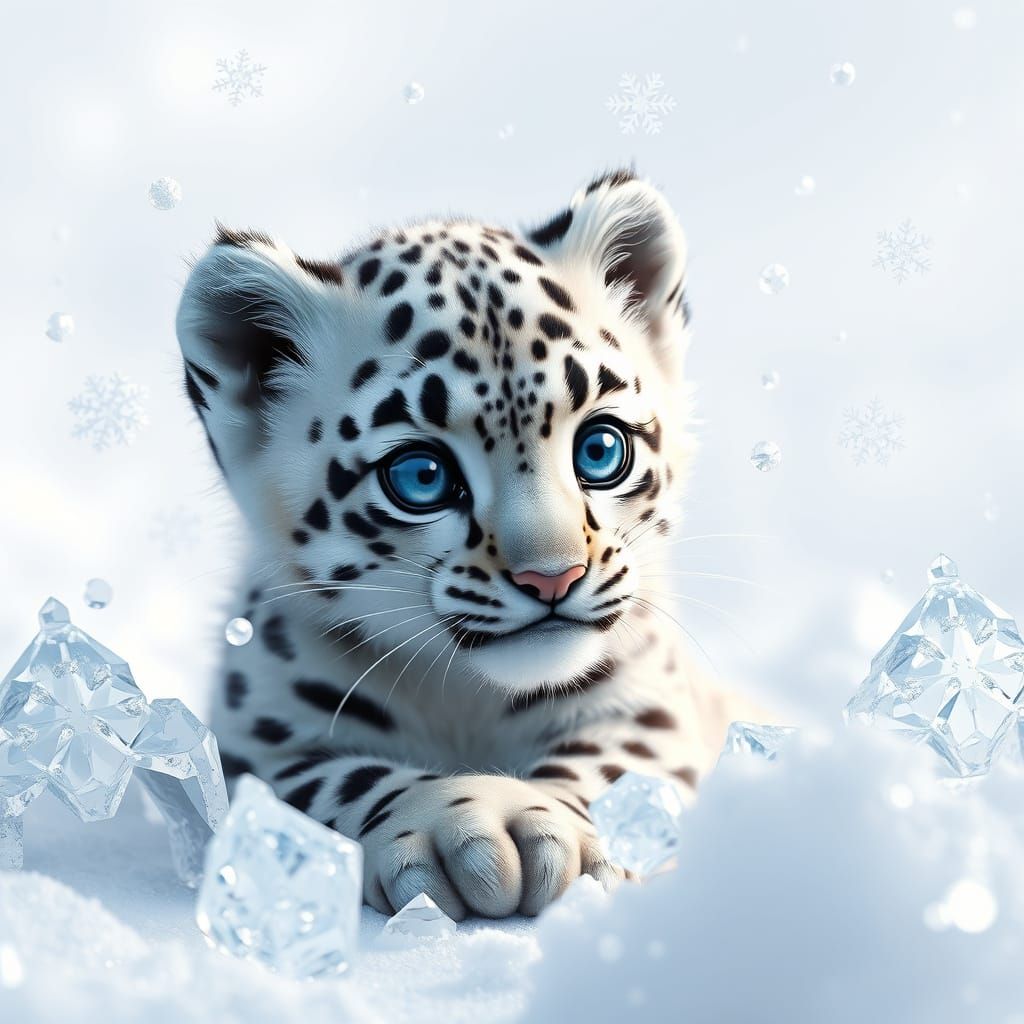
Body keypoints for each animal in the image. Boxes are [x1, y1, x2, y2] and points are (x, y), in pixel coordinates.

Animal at [176, 168, 754, 920]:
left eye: (601, 449)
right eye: (421, 476)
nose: (553, 577)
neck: (472, 700)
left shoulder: (651, 705)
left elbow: (616, 771)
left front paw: (539, 829)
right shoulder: (256, 745)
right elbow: (337, 780)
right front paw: (474, 832)